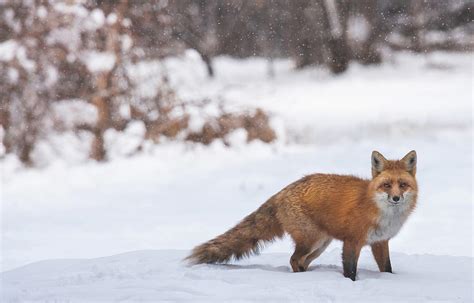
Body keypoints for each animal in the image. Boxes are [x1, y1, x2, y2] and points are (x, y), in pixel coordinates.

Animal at [187, 151, 416, 282]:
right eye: (387, 185)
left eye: (403, 184)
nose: (396, 198)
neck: (380, 212)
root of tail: (282, 191)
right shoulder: (352, 241)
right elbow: (350, 272)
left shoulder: (380, 241)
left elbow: (387, 268)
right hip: (311, 241)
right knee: (293, 259)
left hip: (319, 245)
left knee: (301, 262)